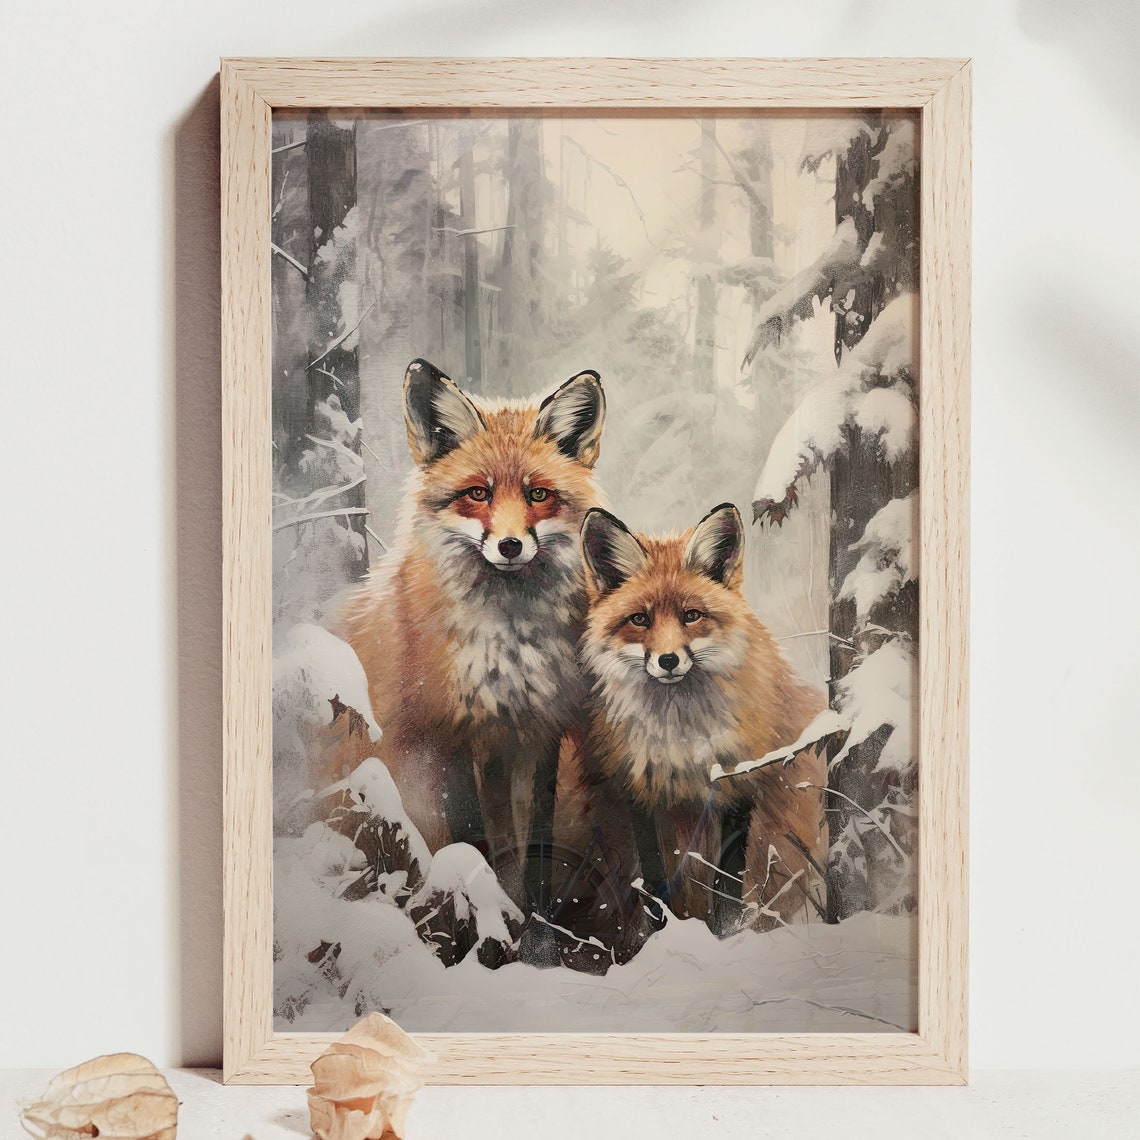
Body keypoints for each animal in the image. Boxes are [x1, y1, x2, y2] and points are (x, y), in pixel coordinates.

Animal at [337, 358, 606, 912]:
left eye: (538, 494)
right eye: (478, 493)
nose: (510, 546)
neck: (512, 645)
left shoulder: (540, 729)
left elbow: (537, 841)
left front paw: (538, 925)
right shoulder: (452, 732)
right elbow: (478, 838)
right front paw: (491, 913)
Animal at [570, 502, 828, 934]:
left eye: (691, 615)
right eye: (640, 620)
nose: (668, 660)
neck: (683, 745)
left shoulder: (739, 789)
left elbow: (727, 888)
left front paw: (725, 936)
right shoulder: (640, 796)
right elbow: (655, 886)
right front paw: (662, 938)